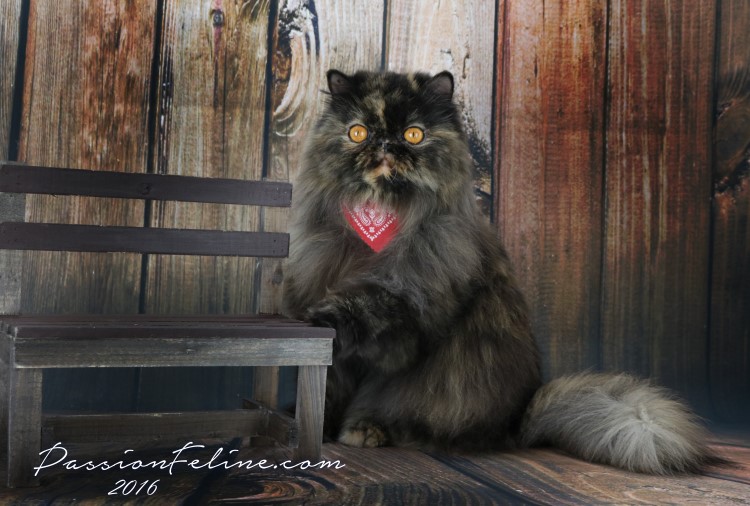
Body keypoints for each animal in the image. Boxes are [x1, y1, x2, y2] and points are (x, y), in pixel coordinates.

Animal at [282, 69, 718, 474]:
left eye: (413, 134)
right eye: (358, 133)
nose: (386, 145)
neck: (380, 218)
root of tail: (517, 423)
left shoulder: (405, 305)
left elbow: (360, 311)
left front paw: (324, 319)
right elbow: (324, 388)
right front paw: (310, 426)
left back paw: (366, 431)